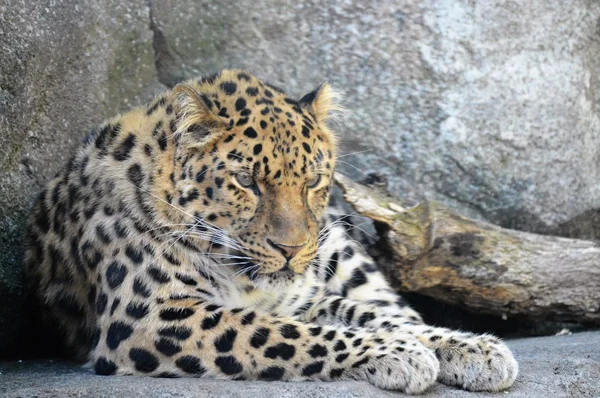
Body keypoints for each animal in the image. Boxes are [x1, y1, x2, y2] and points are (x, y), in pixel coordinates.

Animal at [24, 70, 516, 394]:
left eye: (313, 181)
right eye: (247, 182)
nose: (291, 249)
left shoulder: (297, 298)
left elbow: (363, 315)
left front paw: (467, 348)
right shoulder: (150, 315)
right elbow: (286, 334)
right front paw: (399, 353)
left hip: (339, 246)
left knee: (394, 307)